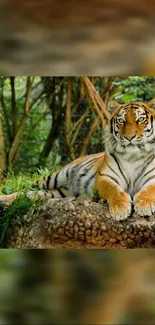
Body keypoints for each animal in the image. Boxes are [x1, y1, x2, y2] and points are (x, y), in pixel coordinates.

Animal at [0, 98, 155, 220]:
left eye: (141, 119)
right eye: (121, 121)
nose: (129, 137)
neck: (132, 155)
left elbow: (149, 190)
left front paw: (144, 205)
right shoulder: (104, 177)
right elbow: (114, 190)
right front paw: (121, 209)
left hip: (61, 191)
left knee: (37, 193)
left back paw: (32, 197)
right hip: (54, 176)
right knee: (24, 190)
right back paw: (4, 199)